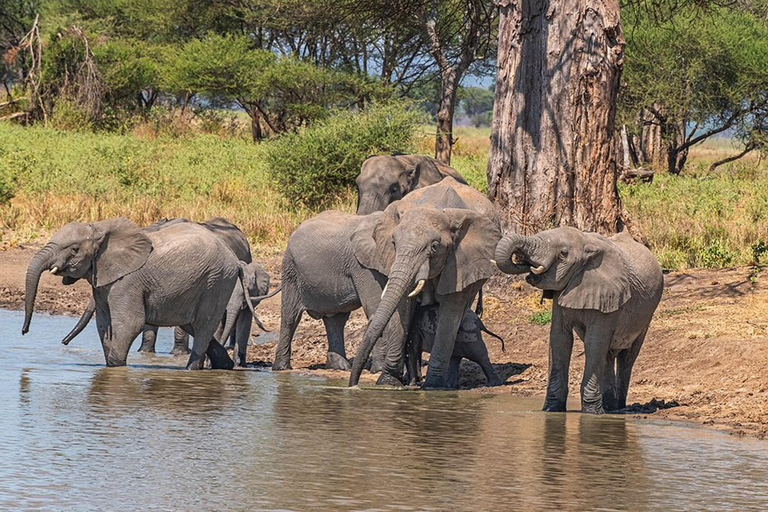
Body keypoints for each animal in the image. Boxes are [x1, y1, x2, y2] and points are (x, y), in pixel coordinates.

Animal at [22, 216, 250, 368]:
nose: (24, 332)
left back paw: (191, 370)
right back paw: (225, 367)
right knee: (193, 325)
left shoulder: (128, 282)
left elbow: (130, 323)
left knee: (203, 328)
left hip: (217, 281)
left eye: (74, 249)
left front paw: (116, 368)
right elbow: (103, 324)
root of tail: (235, 260)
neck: (100, 228)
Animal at [348, 177, 504, 388]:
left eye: (434, 247)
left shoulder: (460, 260)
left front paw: (433, 385)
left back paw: (448, 383)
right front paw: (389, 382)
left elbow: (450, 313)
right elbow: (403, 306)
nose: (354, 385)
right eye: (394, 243)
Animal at [492, 227, 664, 412]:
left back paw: (619, 407)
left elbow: (594, 343)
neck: (586, 242)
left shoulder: (608, 295)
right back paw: (610, 408)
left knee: (627, 357)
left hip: (646, 316)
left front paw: (591, 413)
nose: (523, 262)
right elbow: (560, 339)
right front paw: (551, 410)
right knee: (608, 356)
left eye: (563, 253)